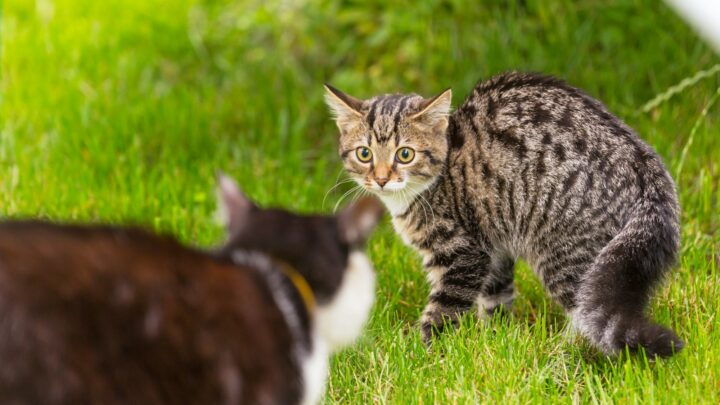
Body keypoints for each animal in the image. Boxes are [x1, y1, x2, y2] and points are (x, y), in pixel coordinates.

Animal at [324, 72, 684, 356]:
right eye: (364, 154)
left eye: (405, 154)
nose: (381, 178)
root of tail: (644, 165)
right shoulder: (492, 244)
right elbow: (495, 297)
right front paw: (495, 341)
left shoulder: (462, 253)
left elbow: (442, 311)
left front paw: (421, 357)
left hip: (566, 252)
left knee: (588, 313)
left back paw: (560, 358)